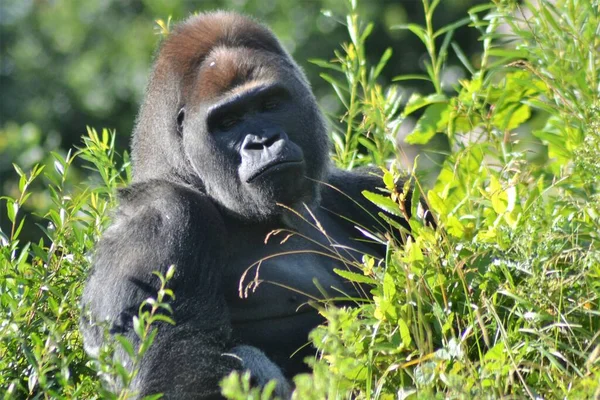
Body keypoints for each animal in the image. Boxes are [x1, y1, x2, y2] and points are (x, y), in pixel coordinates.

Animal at [79, 10, 422, 398]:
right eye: (227, 122)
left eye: (269, 104)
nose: (263, 141)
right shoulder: (160, 219)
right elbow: (172, 376)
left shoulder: (378, 189)